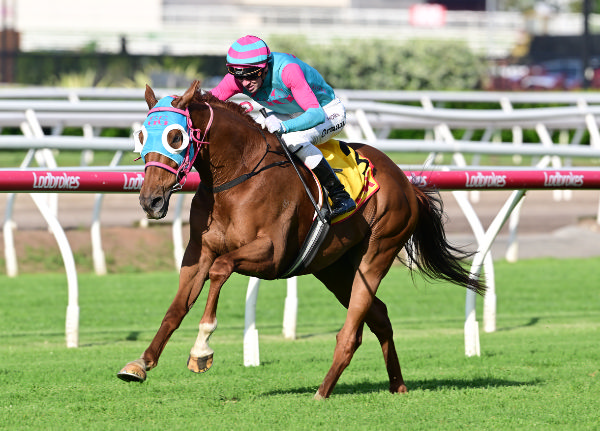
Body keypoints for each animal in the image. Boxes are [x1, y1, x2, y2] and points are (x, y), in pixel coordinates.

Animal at [116, 79, 482, 400]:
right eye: (141, 135)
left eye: (175, 136)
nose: (151, 201)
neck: (237, 177)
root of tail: (408, 183)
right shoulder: (199, 251)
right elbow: (177, 307)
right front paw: (140, 363)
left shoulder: (271, 254)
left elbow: (221, 269)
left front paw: (201, 349)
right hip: (334, 269)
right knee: (379, 316)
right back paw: (398, 385)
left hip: (377, 252)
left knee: (352, 330)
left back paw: (323, 390)